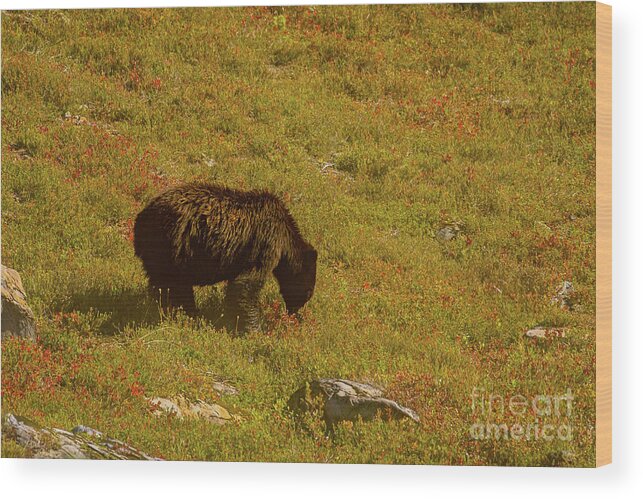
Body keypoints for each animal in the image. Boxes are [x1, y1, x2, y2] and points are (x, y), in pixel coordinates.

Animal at [133, 182, 316, 334]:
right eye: (308, 292)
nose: (294, 314)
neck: (285, 240)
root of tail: (141, 218)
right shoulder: (265, 242)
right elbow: (246, 284)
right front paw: (255, 329)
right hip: (172, 247)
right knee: (173, 286)